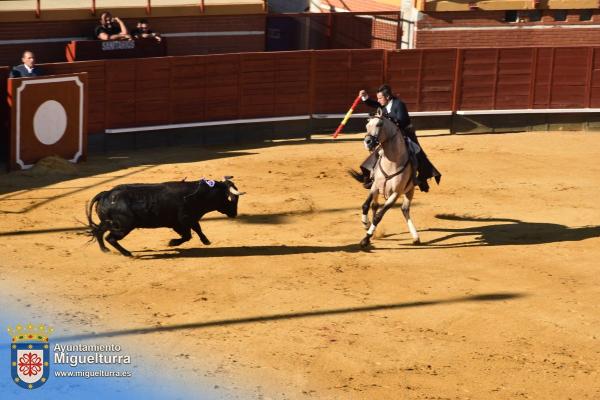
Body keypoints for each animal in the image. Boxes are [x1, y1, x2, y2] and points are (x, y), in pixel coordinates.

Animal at [86, 178, 244, 256]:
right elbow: (188, 235)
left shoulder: (186, 220)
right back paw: (127, 253)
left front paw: (206, 241)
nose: (234, 213)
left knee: (99, 231)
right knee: (111, 238)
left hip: (109, 222)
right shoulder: (183, 221)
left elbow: (196, 230)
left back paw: (105, 250)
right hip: (124, 226)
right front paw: (172, 243)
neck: (197, 195)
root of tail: (106, 194)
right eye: (229, 198)